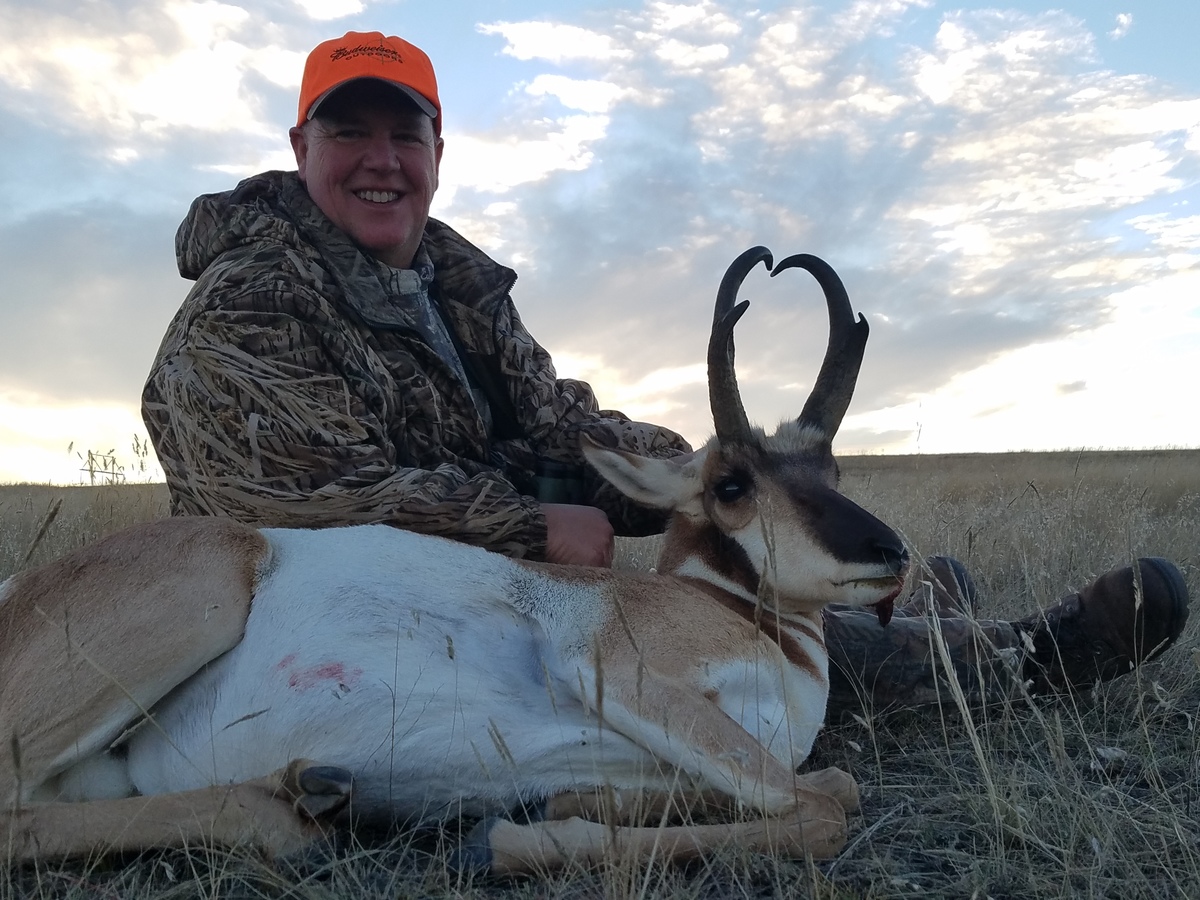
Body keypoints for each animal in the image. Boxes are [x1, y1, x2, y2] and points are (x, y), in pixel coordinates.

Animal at [0, 248, 907, 874]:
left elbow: (825, 788)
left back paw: (308, 790)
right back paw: (295, 808)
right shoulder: (625, 673)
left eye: (831, 470)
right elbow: (823, 806)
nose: (890, 554)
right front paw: (506, 841)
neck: (741, 617)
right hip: (205, 590)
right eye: (731, 484)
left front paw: (565, 801)